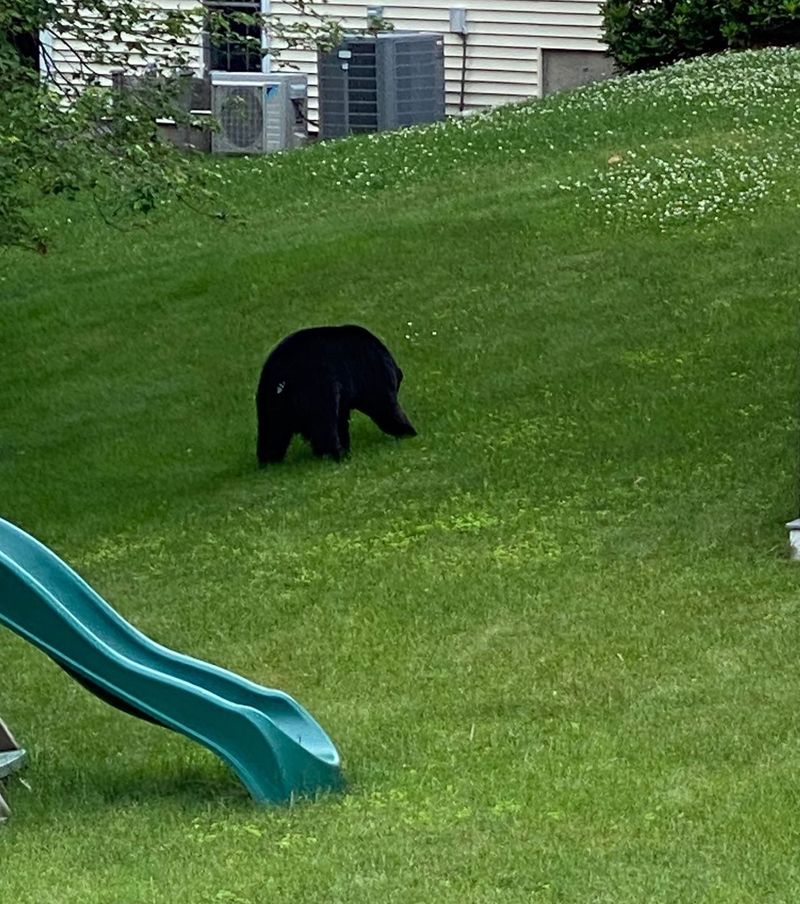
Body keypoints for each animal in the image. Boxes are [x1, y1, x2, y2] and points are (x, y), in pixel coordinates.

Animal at [255, 324, 417, 464]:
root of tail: (283, 378)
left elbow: (342, 418)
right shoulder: (372, 373)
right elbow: (384, 406)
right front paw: (407, 431)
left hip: (270, 402)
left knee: (272, 433)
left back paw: (269, 461)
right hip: (318, 389)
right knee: (324, 425)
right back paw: (337, 454)